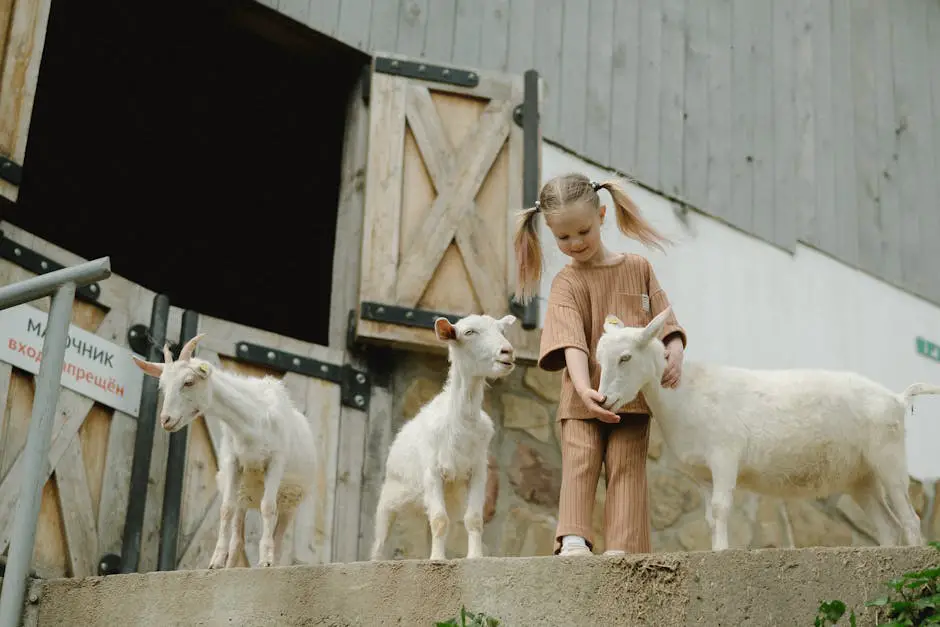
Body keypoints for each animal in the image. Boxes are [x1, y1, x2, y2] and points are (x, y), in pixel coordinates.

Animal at [132, 336, 318, 572]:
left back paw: (272, 560)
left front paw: (265, 561)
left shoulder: (276, 461)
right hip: (244, 495)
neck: (251, 420)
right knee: (238, 536)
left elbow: (268, 507)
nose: (166, 420)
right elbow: (225, 509)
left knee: (279, 531)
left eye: (189, 382)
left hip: (291, 498)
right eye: (162, 386)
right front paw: (216, 562)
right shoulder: (233, 462)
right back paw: (230, 566)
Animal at [370, 314, 516, 564]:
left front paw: (474, 556)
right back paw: (377, 561)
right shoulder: (433, 471)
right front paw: (438, 560)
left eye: (502, 331)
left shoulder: (478, 471)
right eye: (469, 332)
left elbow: (473, 519)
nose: (507, 352)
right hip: (390, 494)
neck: (461, 423)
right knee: (381, 537)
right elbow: (439, 520)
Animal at [596, 308, 940, 548]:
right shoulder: (702, 474)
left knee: (910, 520)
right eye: (600, 359)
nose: (604, 399)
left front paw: (721, 552)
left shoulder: (724, 456)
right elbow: (709, 518)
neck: (686, 392)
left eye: (625, 357)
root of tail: (897, 398)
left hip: (889, 458)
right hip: (862, 476)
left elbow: (721, 509)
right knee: (888, 526)